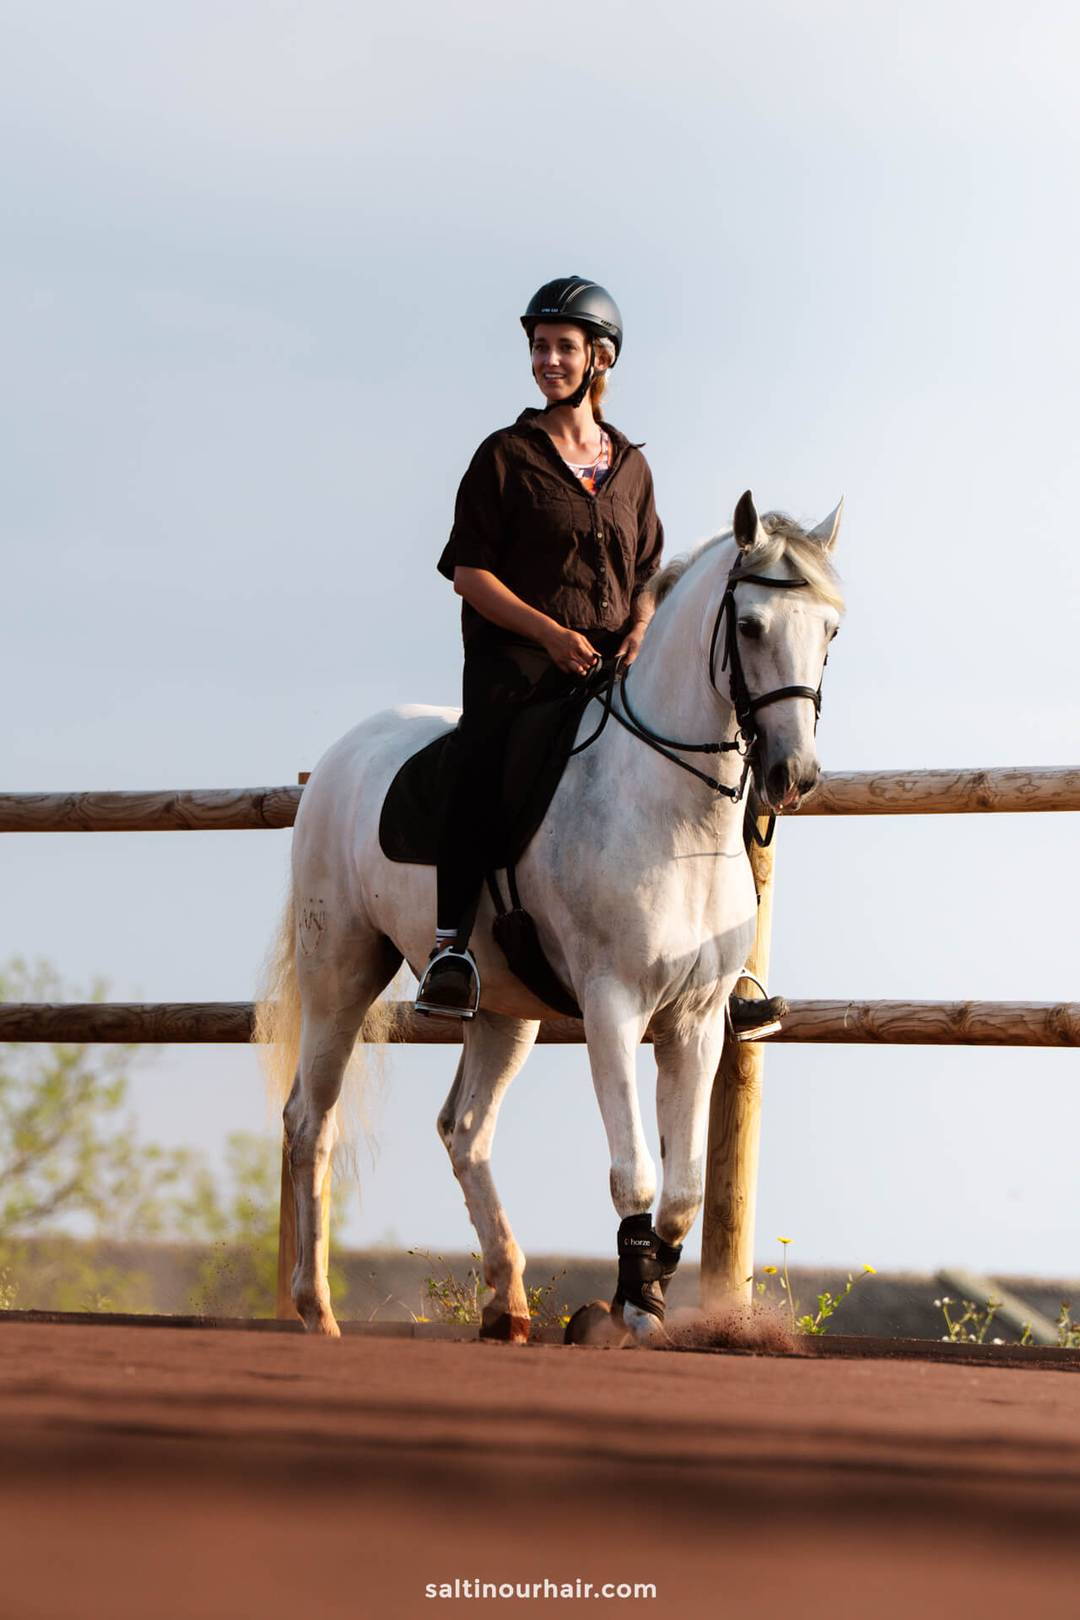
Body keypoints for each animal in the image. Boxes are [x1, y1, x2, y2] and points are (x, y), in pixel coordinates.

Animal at [260, 489, 844, 1341]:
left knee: (465, 1131)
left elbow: (682, 1192)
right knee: (311, 1121)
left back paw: (507, 1301)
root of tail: (342, 756)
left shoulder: (697, 1021)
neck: (673, 812)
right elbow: (636, 1174)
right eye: (750, 627)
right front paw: (626, 1312)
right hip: (340, 972)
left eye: (829, 632)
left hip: (506, 1011)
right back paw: (316, 1307)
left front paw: (646, 1301)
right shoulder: (613, 1007)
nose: (792, 774)